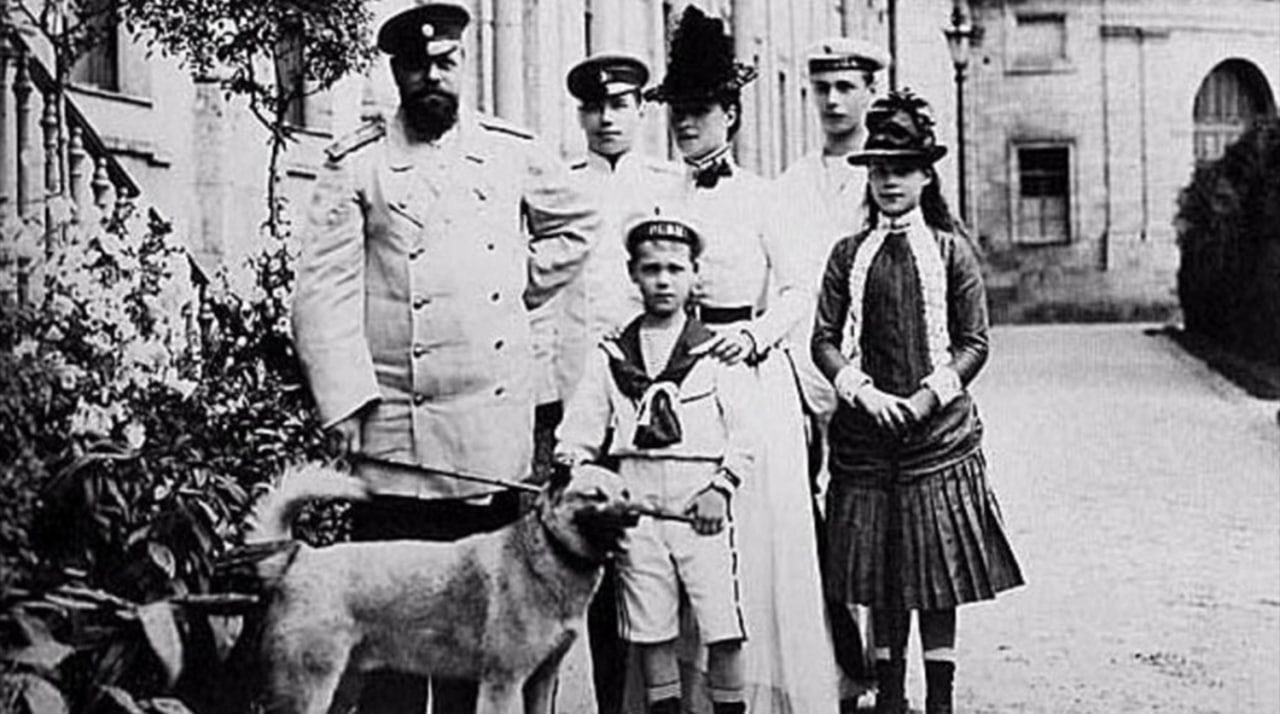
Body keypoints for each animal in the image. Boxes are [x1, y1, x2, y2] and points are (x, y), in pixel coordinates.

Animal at [247, 462, 636, 714]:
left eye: (625, 493)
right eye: (596, 496)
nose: (634, 515)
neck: (548, 552)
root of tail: (300, 556)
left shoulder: (541, 679)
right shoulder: (502, 683)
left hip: (344, 683)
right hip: (308, 688)